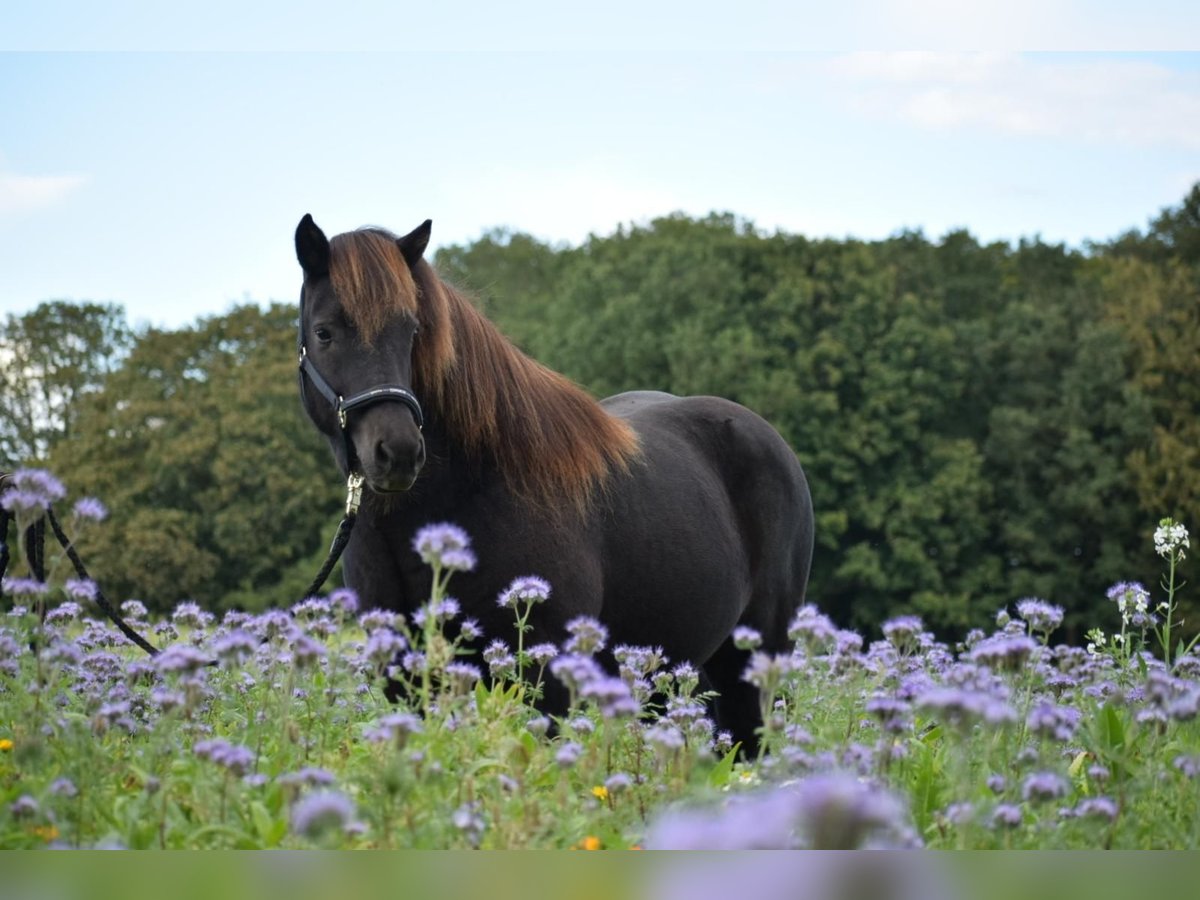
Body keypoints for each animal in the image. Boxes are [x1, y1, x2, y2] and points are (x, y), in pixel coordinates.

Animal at [292, 214, 816, 748]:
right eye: (324, 333)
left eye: (412, 330)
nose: (397, 452)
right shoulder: (409, 679)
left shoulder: (547, 682)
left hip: (754, 658)